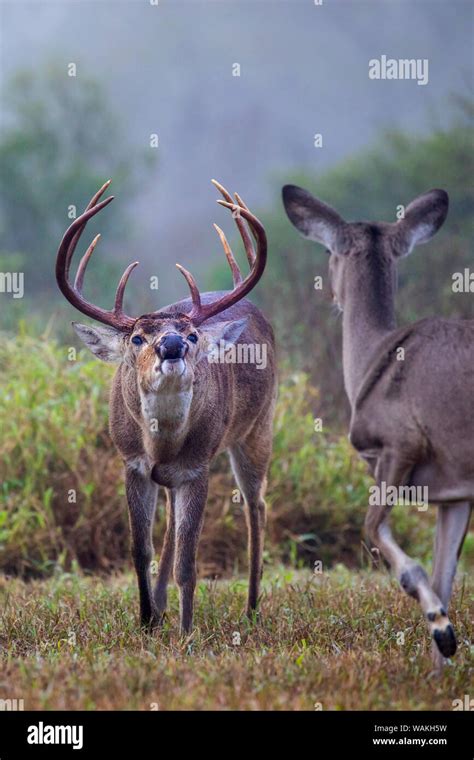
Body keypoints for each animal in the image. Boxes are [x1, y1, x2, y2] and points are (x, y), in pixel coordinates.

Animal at [55, 180, 276, 636]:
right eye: (138, 337)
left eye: (192, 335)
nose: (171, 344)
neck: (162, 446)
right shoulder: (132, 463)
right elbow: (141, 549)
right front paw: (146, 621)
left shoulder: (197, 467)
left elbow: (189, 562)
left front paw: (186, 631)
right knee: (174, 526)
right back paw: (160, 608)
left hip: (258, 427)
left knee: (256, 506)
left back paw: (251, 609)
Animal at [284, 184, 472, 664]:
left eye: (328, 252)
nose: (332, 297)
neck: (373, 356)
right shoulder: (455, 488)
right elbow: (446, 575)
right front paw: (440, 663)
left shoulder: (399, 442)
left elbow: (373, 531)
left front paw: (441, 627)